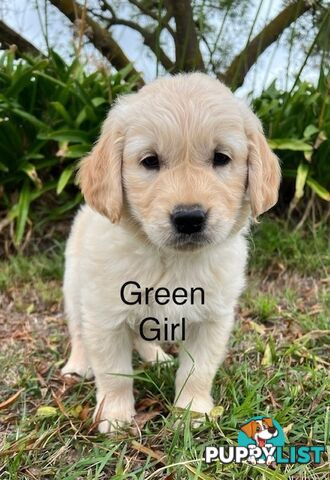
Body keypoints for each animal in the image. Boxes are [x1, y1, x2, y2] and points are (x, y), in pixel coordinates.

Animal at [60, 73, 280, 434]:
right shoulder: (105, 316)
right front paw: (115, 415)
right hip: (75, 288)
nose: (189, 218)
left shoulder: (213, 318)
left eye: (221, 158)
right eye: (150, 161)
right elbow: (114, 373)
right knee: (79, 332)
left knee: (142, 335)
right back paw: (79, 364)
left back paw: (157, 358)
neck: (172, 261)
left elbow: (198, 370)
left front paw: (191, 411)